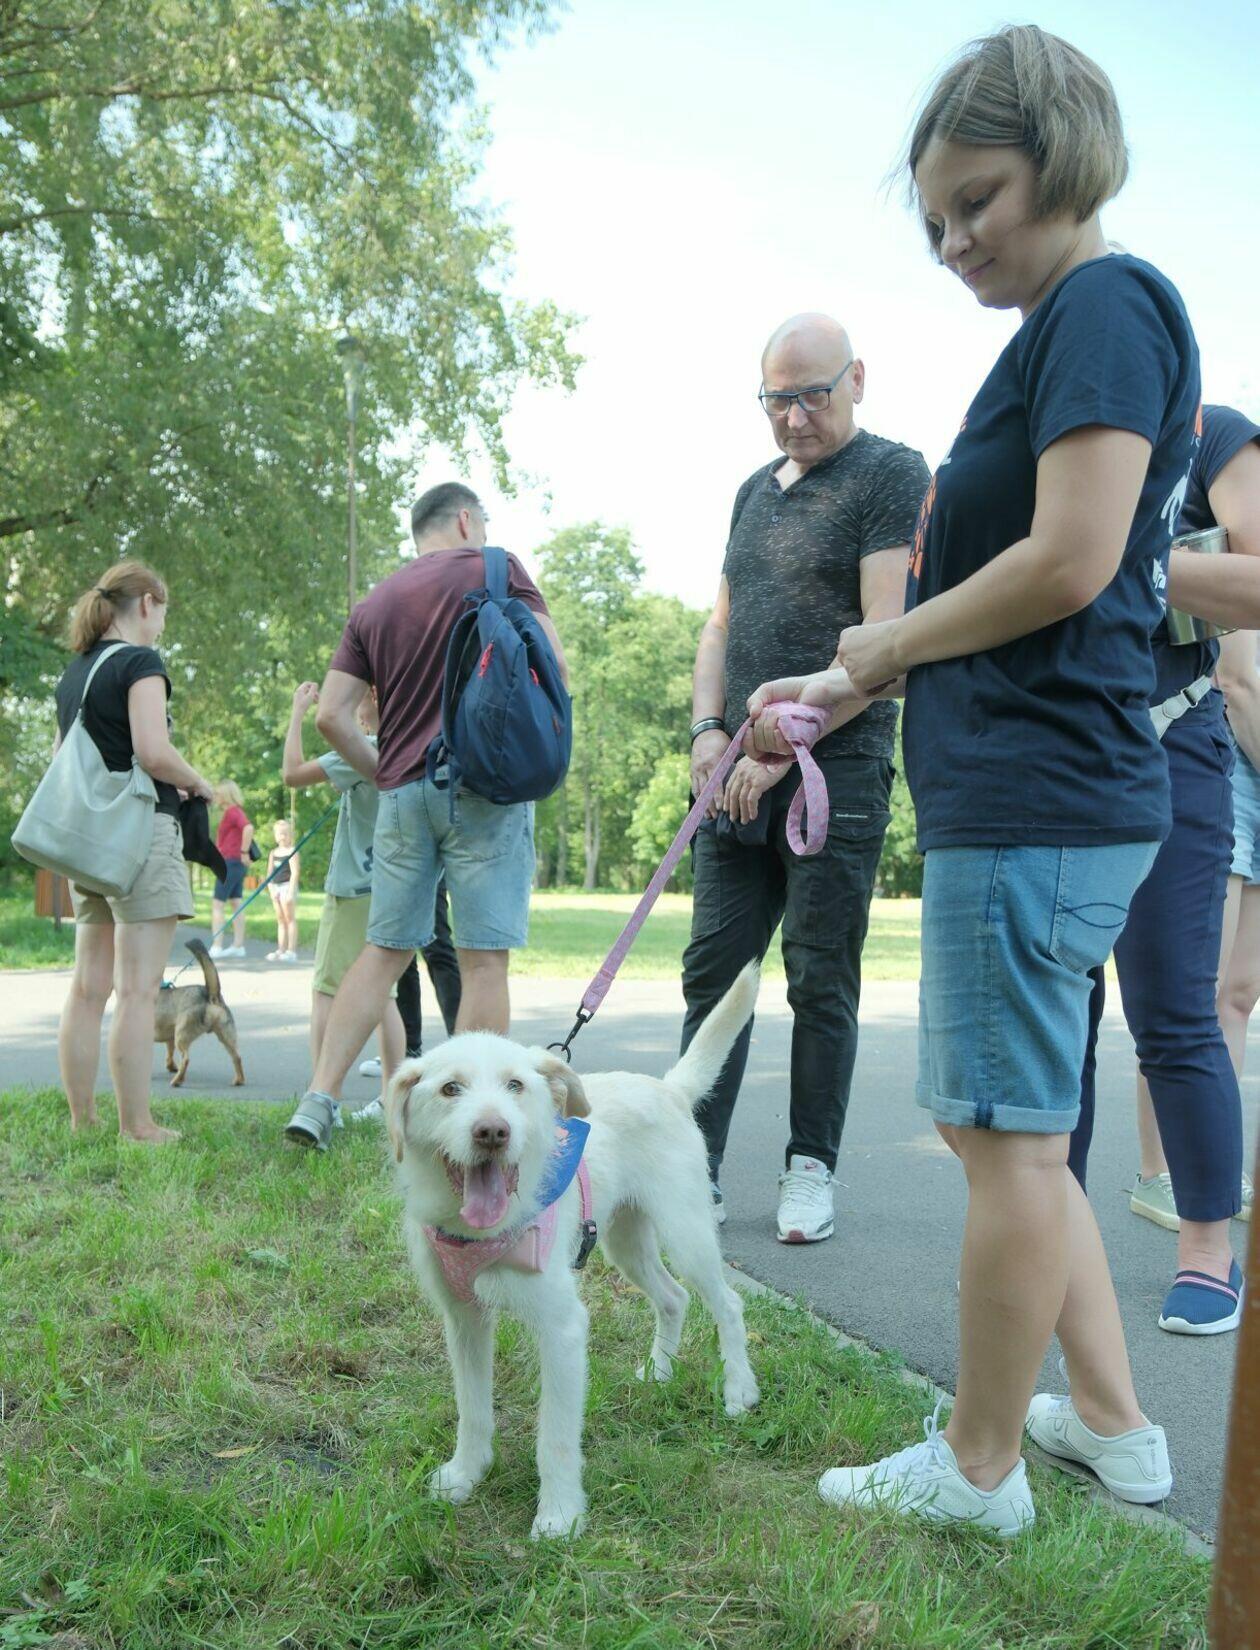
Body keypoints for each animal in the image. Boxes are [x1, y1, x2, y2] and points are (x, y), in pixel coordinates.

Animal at [154, 939, 245, 1088]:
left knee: (186, 1059)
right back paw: (238, 1080)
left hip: (181, 1035)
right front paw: (171, 1066)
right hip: (226, 1035)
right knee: (236, 1056)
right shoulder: (169, 1038)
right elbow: (169, 1052)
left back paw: (177, 1081)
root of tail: (211, 995)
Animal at [386, 963, 761, 1540]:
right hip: (625, 1240)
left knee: (728, 1304)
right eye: (450, 1088)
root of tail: (669, 1088)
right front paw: (465, 1474)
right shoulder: (465, 1320)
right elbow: (473, 1409)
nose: (493, 1132)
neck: (482, 1229)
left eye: (516, 1086)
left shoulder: (562, 1329)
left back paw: (739, 1390)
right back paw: (660, 1371)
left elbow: (556, 1436)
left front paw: (559, 1516)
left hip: (687, 1232)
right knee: (673, 1298)